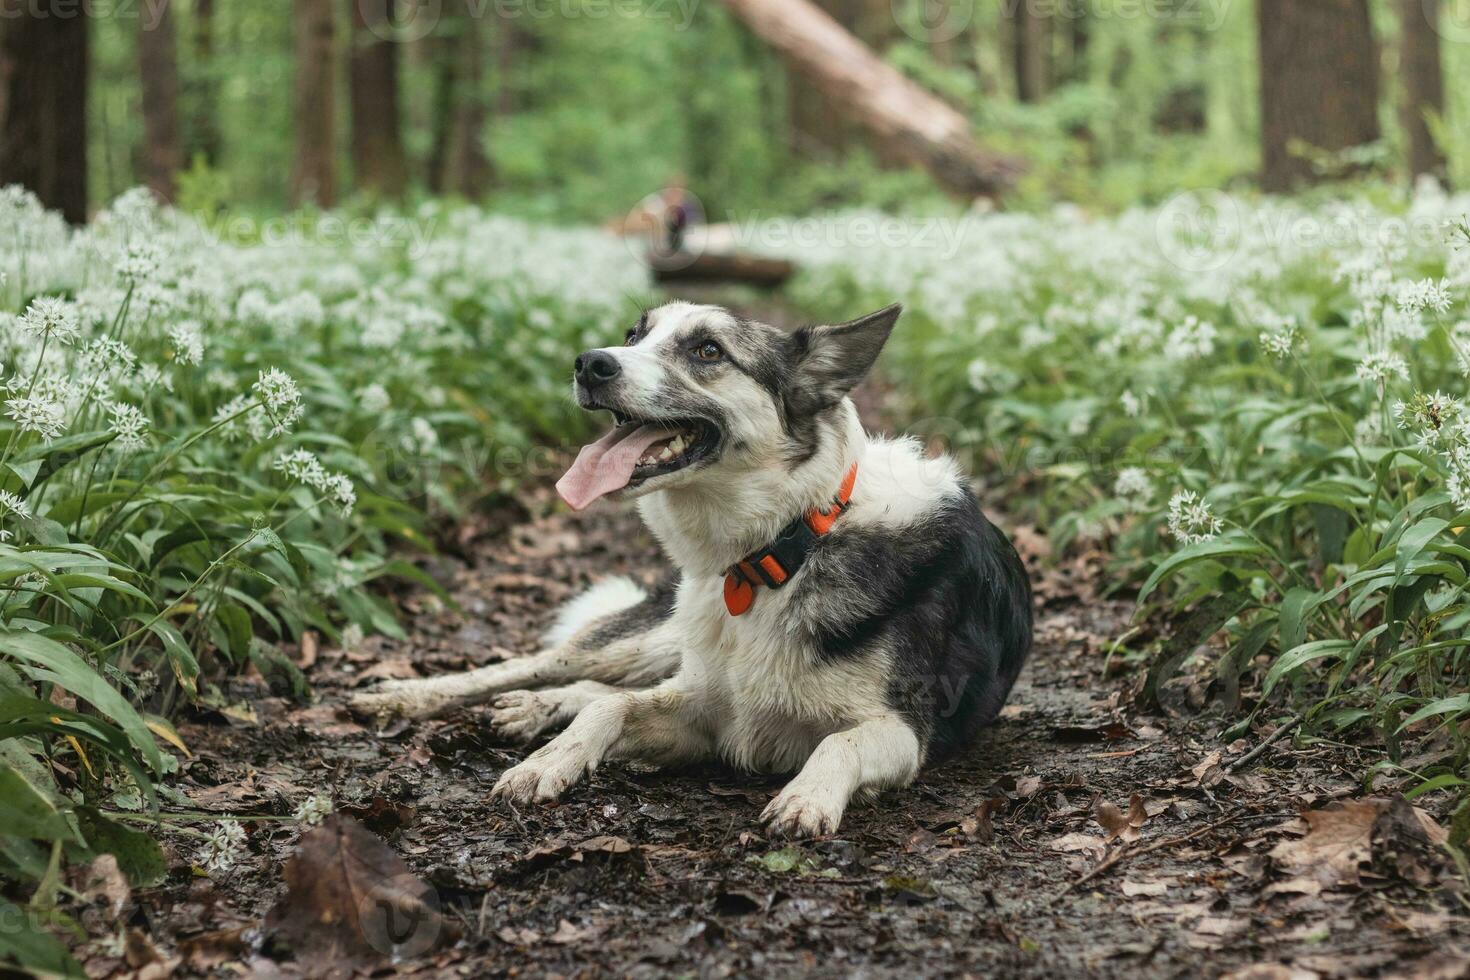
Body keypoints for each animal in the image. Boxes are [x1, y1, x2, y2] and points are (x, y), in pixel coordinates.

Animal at [348, 301, 1029, 834]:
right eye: (632, 336)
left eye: (708, 350)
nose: (589, 363)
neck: (788, 542)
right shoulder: (709, 713)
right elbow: (609, 710)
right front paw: (547, 762)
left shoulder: (903, 731)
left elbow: (840, 741)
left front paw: (806, 797)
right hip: (652, 637)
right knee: (553, 665)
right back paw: (409, 697)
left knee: (598, 683)